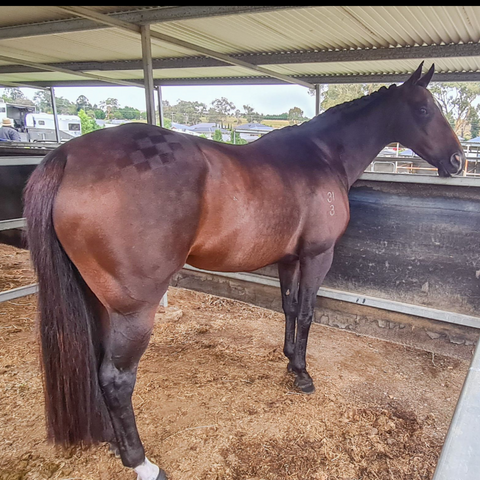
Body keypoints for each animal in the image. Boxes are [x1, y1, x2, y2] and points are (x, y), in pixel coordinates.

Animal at [23, 63, 464, 480]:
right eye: (424, 109)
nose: (458, 161)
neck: (322, 156)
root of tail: (68, 157)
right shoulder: (317, 256)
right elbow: (307, 313)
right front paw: (304, 375)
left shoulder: (289, 259)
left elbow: (289, 309)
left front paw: (290, 362)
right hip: (134, 310)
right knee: (116, 379)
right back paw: (142, 462)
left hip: (98, 300)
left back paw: (112, 441)